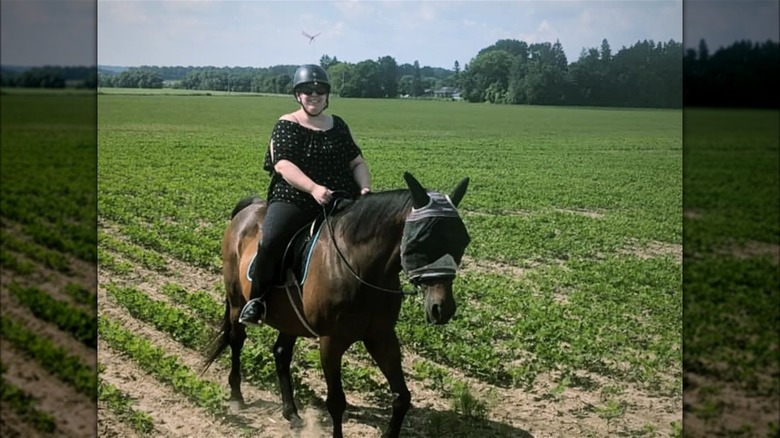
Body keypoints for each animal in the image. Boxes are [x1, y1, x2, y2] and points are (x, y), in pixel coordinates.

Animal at [203, 172, 470, 438]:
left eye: (463, 241)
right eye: (421, 239)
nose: (442, 309)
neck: (360, 268)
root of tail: (250, 208)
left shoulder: (382, 337)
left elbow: (402, 396)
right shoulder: (331, 341)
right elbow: (336, 401)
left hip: (290, 318)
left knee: (281, 353)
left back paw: (291, 413)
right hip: (237, 302)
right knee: (237, 341)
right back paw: (237, 397)